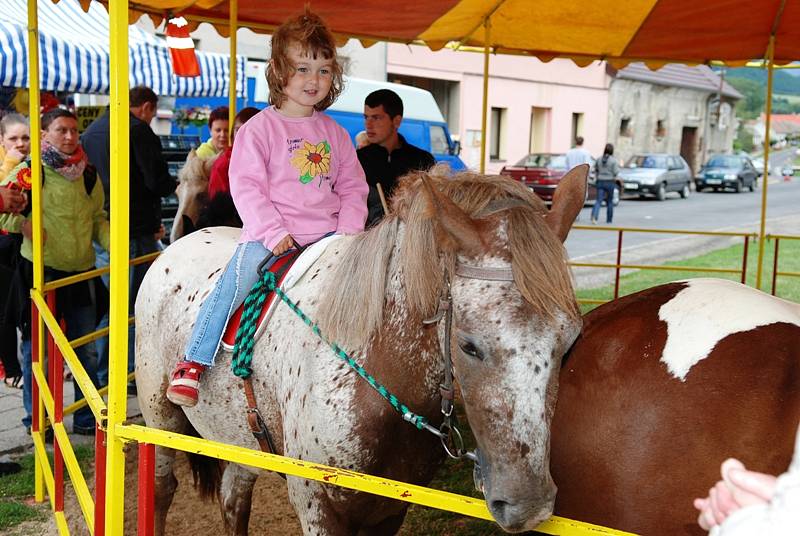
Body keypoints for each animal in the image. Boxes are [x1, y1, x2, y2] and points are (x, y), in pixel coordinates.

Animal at [136, 165, 588, 532]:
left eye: (570, 341)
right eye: (469, 346)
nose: (528, 504)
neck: (378, 370)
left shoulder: (389, 509)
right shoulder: (319, 508)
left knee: (234, 498)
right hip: (160, 418)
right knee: (162, 489)